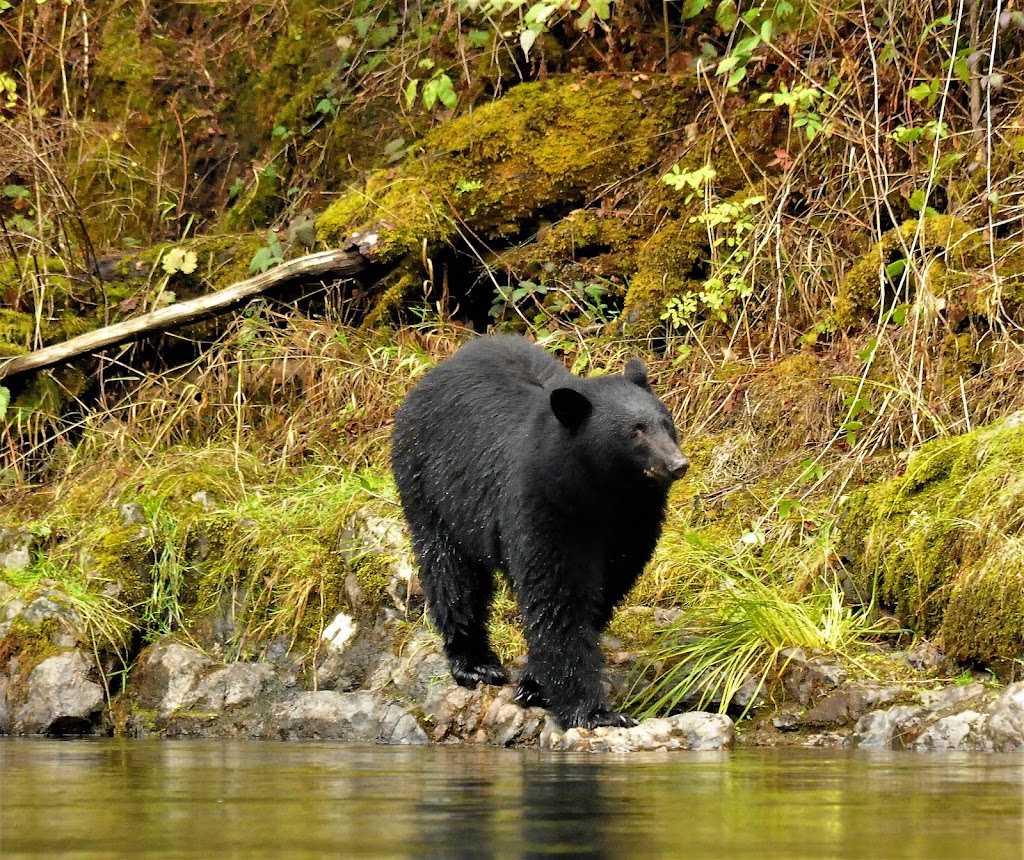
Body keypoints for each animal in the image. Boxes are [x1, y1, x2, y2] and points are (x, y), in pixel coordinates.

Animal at [391, 331, 688, 728]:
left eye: (664, 422)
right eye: (635, 432)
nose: (677, 464)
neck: (603, 494)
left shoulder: (634, 522)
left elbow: (605, 589)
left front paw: (536, 684)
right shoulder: (543, 506)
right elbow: (557, 596)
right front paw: (594, 712)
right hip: (430, 486)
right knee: (451, 574)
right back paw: (474, 663)